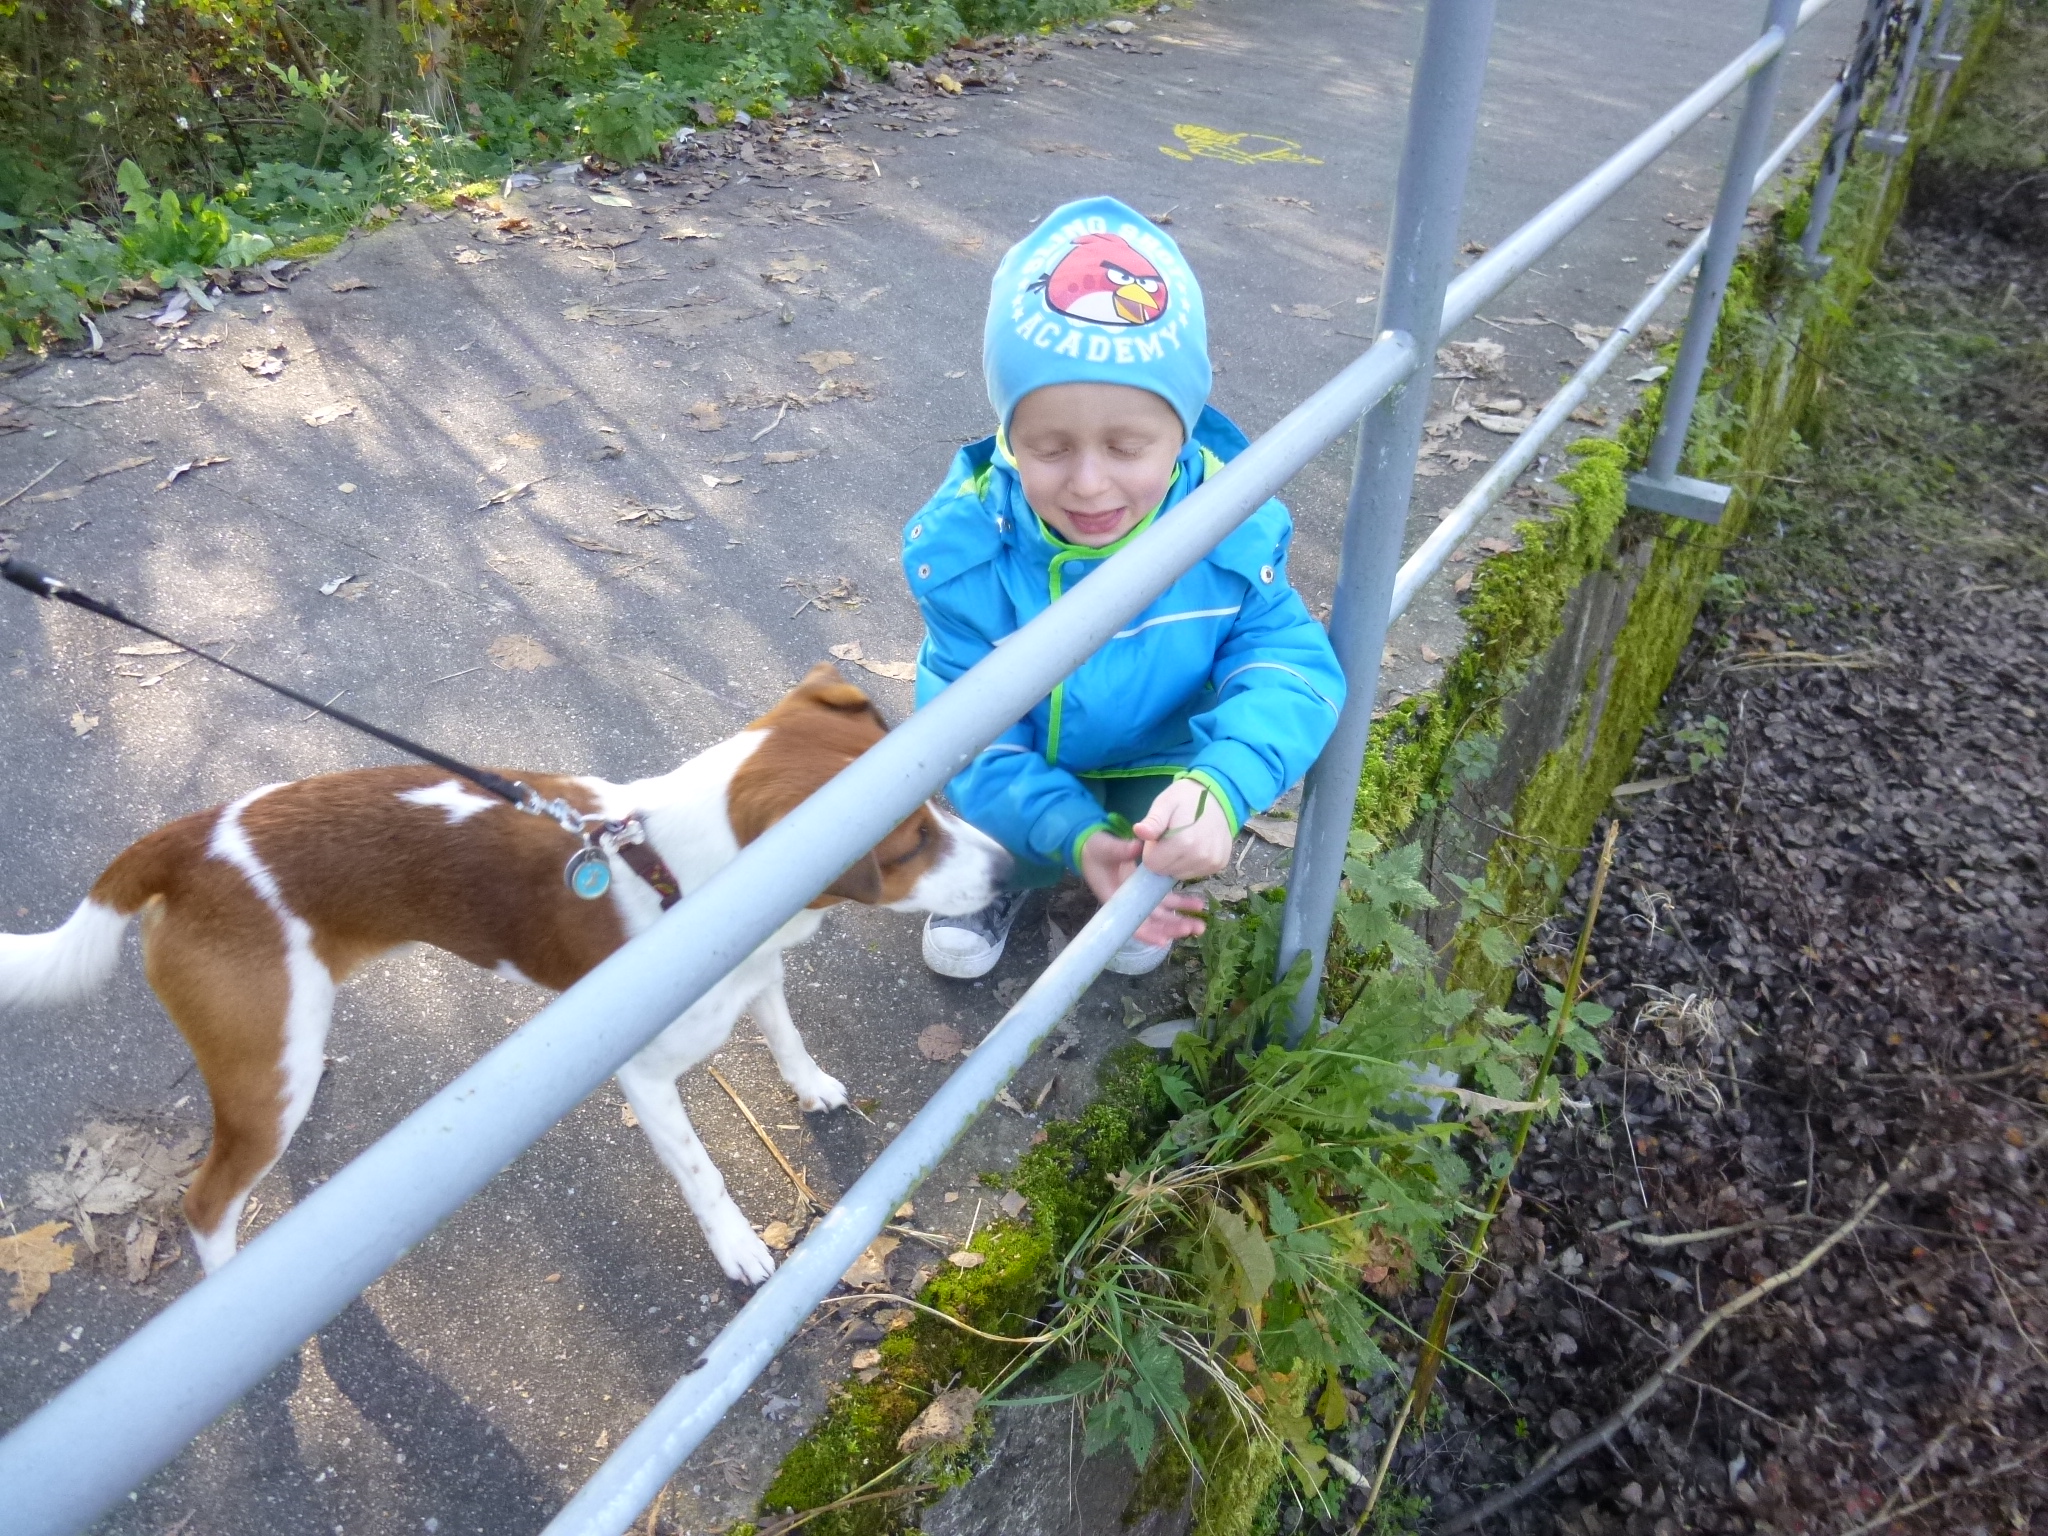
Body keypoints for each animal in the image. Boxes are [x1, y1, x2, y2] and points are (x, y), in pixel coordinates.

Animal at [0, 665, 1009, 1284]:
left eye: (935, 803)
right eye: (905, 847)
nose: (1008, 876)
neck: (674, 876)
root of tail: (186, 841)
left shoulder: (758, 973)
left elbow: (788, 1035)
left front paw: (810, 1085)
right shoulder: (646, 1078)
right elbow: (703, 1172)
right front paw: (734, 1245)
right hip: (257, 1082)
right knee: (206, 1205)